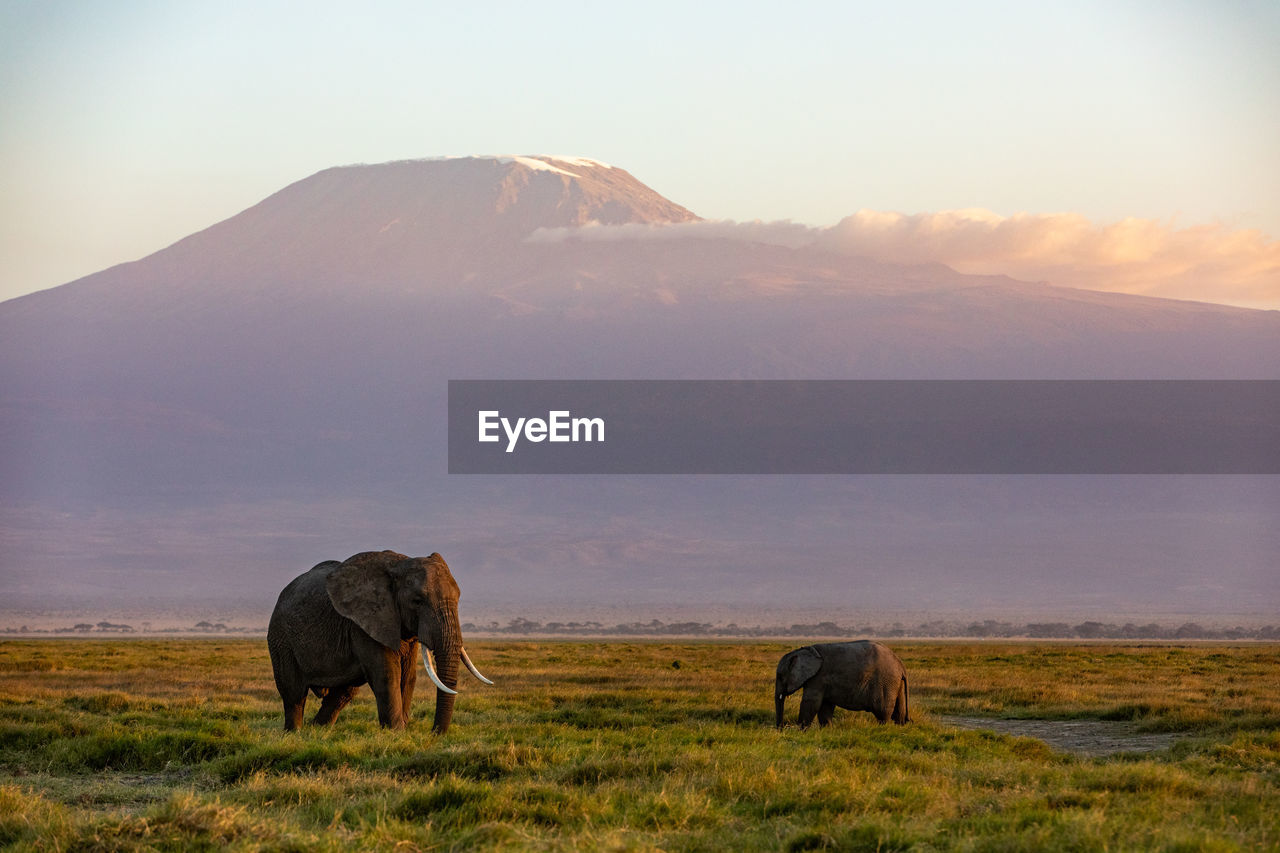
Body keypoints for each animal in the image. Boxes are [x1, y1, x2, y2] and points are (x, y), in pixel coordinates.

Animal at [267, 550, 491, 732]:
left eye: (459, 598)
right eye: (417, 601)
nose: (435, 733)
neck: (399, 565)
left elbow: (408, 676)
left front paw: (403, 730)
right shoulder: (363, 622)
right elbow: (387, 674)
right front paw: (396, 732)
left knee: (344, 693)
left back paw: (317, 731)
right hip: (281, 637)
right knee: (293, 692)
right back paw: (295, 733)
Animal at [768, 637, 911, 722]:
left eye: (780, 676)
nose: (781, 729)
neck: (804, 650)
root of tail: (900, 664)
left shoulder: (818, 677)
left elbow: (811, 703)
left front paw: (801, 731)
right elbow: (825, 706)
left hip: (886, 682)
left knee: (882, 712)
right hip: (895, 683)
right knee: (899, 712)